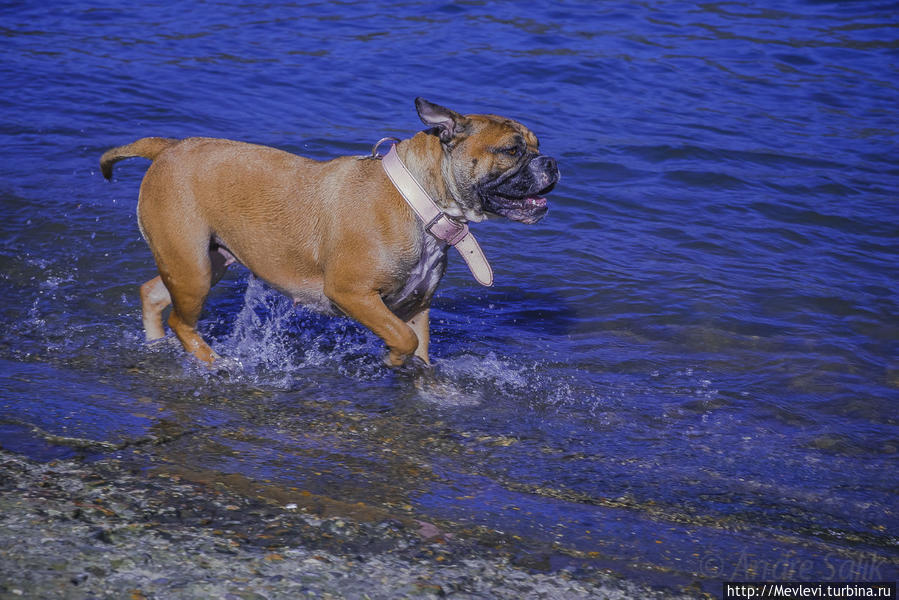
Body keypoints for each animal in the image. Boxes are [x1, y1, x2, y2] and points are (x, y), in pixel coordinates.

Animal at [102, 98, 560, 366]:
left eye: (538, 145)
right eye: (512, 150)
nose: (552, 162)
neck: (421, 202)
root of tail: (168, 148)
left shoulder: (416, 306)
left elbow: (421, 350)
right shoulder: (353, 294)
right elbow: (402, 340)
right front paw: (392, 360)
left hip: (203, 263)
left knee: (154, 295)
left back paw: (157, 344)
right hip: (192, 269)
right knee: (182, 321)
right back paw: (213, 361)